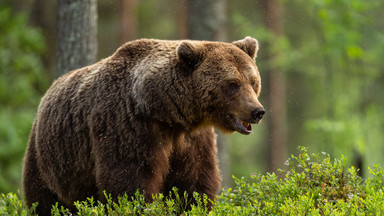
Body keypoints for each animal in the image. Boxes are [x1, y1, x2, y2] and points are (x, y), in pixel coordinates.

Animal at [23, 36, 264, 213]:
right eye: (232, 84)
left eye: (253, 81)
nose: (257, 111)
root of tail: (46, 94)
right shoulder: (127, 125)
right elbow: (129, 182)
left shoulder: (191, 139)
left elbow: (194, 182)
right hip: (48, 159)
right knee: (42, 199)